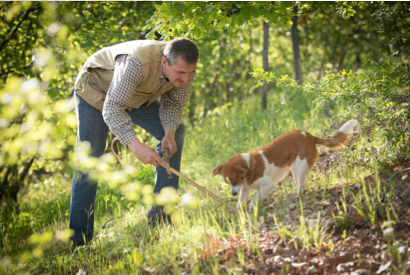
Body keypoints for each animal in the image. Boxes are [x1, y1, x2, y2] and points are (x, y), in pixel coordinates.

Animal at [213, 120, 358, 211]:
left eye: (234, 181)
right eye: (228, 183)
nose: (233, 194)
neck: (248, 167)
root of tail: (309, 135)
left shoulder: (269, 186)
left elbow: (254, 200)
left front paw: (251, 208)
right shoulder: (244, 189)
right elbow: (240, 204)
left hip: (300, 167)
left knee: (302, 186)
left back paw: (298, 197)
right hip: (294, 169)